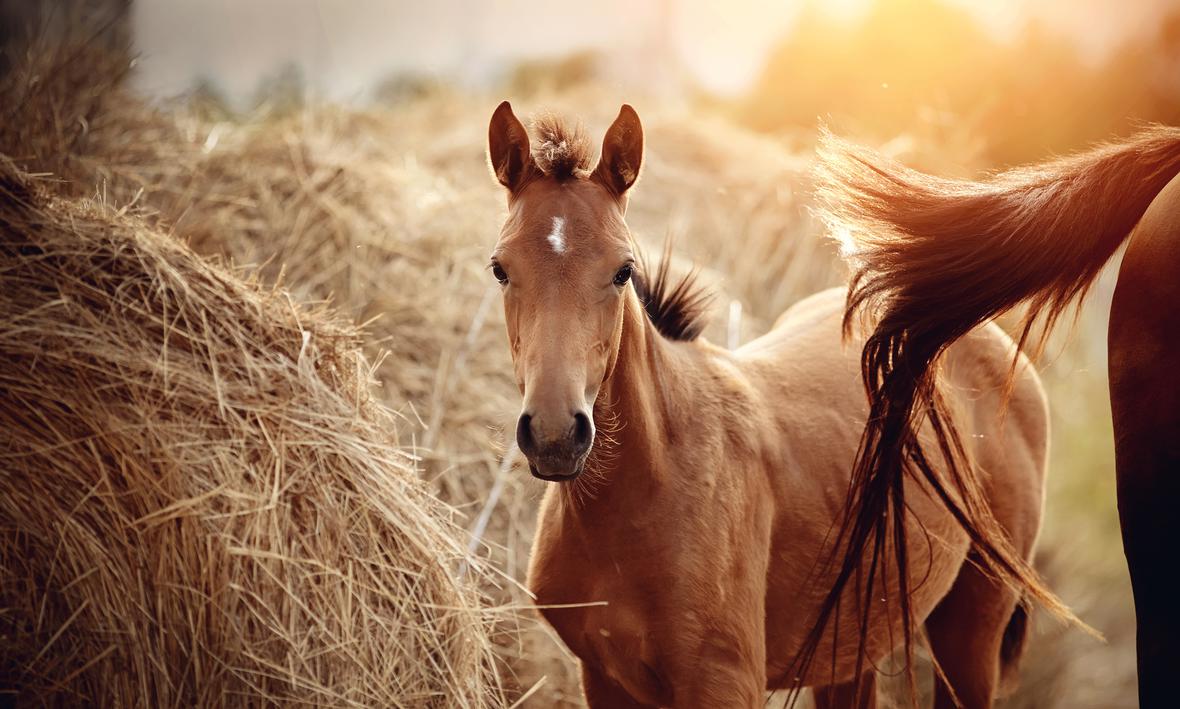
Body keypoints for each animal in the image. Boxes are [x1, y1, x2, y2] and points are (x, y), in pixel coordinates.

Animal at [485, 101, 1049, 708]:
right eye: (500, 268)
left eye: (623, 271)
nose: (555, 435)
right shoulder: (603, 677)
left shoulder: (723, 683)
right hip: (852, 642)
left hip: (970, 630)